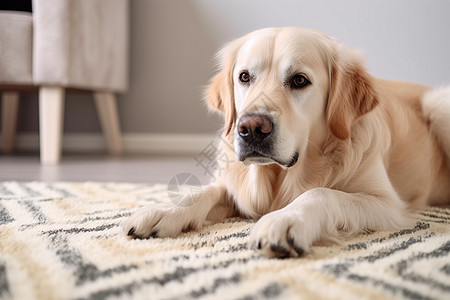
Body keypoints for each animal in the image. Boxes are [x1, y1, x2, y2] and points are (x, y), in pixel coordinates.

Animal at [123, 27, 450, 258]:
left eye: (299, 80)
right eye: (244, 77)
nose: (251, 129)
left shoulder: (387, 204)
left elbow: (321, 192)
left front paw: (285, 220)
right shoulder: (239, 187)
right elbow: (205, 191)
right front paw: (164, 210)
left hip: (438, 104)